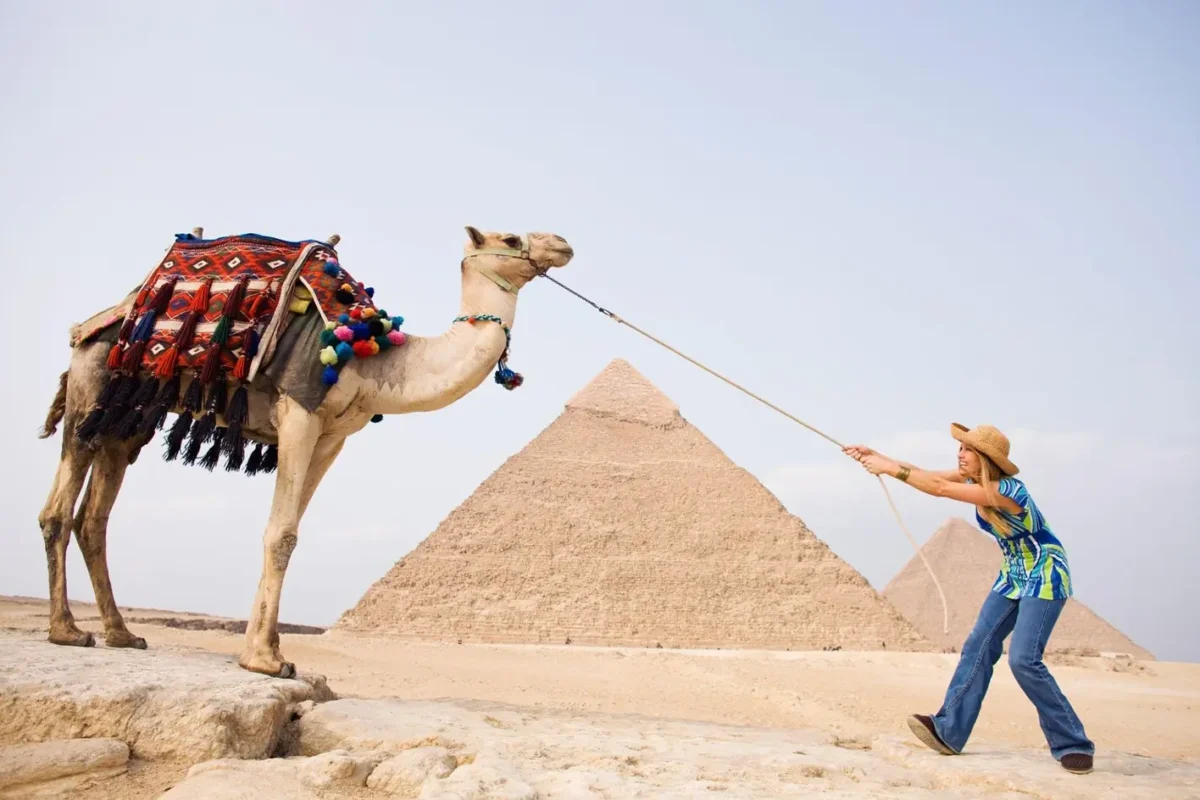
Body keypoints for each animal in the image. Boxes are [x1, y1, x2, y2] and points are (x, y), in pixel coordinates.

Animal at [37, 226, 574, 677]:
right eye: (510, 237)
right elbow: (282, 534)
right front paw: (266, 659)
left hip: (129, 419)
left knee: (94, 517)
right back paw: (67, 630)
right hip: (91, 387)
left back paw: (121, 633)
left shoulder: (333, 436)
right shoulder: (300, 410)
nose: (562, 244)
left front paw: (260, 650)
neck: (377, 357)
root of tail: (90, 325)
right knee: (58, 509)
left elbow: (289, 528)